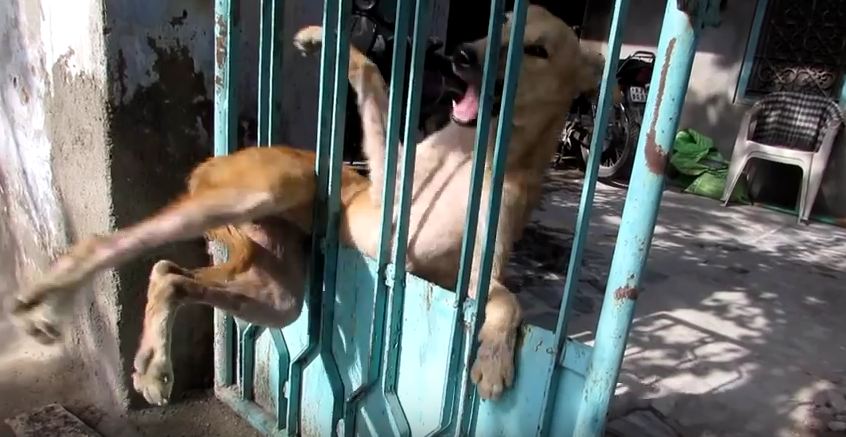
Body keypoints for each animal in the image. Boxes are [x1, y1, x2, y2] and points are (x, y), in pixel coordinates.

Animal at [6, 4, 604, 406]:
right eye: (493, 29)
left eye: (537, 49)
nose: (457, 56)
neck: (472, 157)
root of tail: (222, 159)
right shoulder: (385, 189)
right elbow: (373, 81)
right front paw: (334, 44)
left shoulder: (458, 276)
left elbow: (508, 300)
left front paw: (493, 358)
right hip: (259, 193)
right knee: (110, 243)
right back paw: (48, 300)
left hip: (278, 295)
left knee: (166, 274)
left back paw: (153, 364)